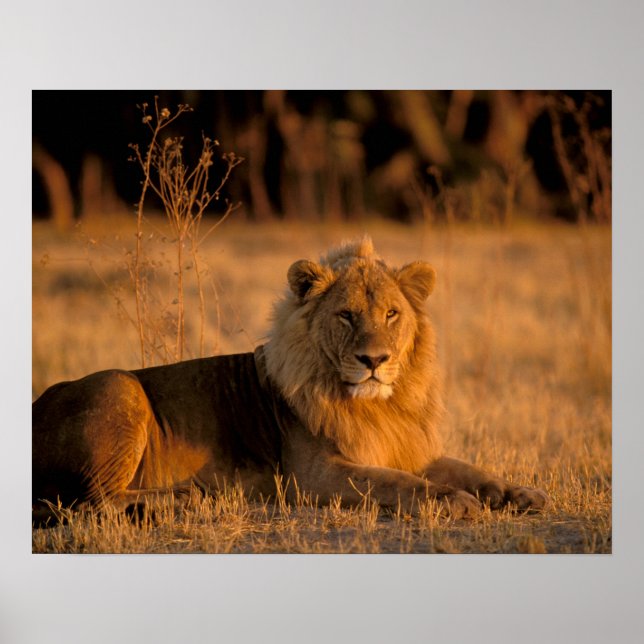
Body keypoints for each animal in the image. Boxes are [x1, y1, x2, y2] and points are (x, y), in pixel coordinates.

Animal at [32, 236, 548, 524]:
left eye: (391, 314)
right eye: (346, 315)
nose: (374, 360)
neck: (378, 405)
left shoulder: (403, 445)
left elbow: (468, 468)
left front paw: (519, 493)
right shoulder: (314, 476)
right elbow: (397, 484)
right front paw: (453, 501)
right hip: (121, 386)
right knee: (90, 502)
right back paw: (177, 501)